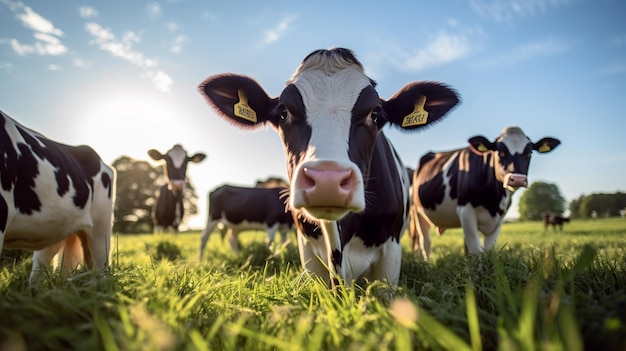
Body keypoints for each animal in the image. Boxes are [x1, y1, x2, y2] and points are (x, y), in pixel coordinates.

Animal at [408, 125, 560, 260]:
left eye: (529, 153)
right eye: (500, 152)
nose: (517, 179)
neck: (493, 202)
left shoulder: (500, 217)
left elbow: (487, 250)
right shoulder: (466, 211)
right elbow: (476, 250)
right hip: (418, 212)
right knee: (425, 242)